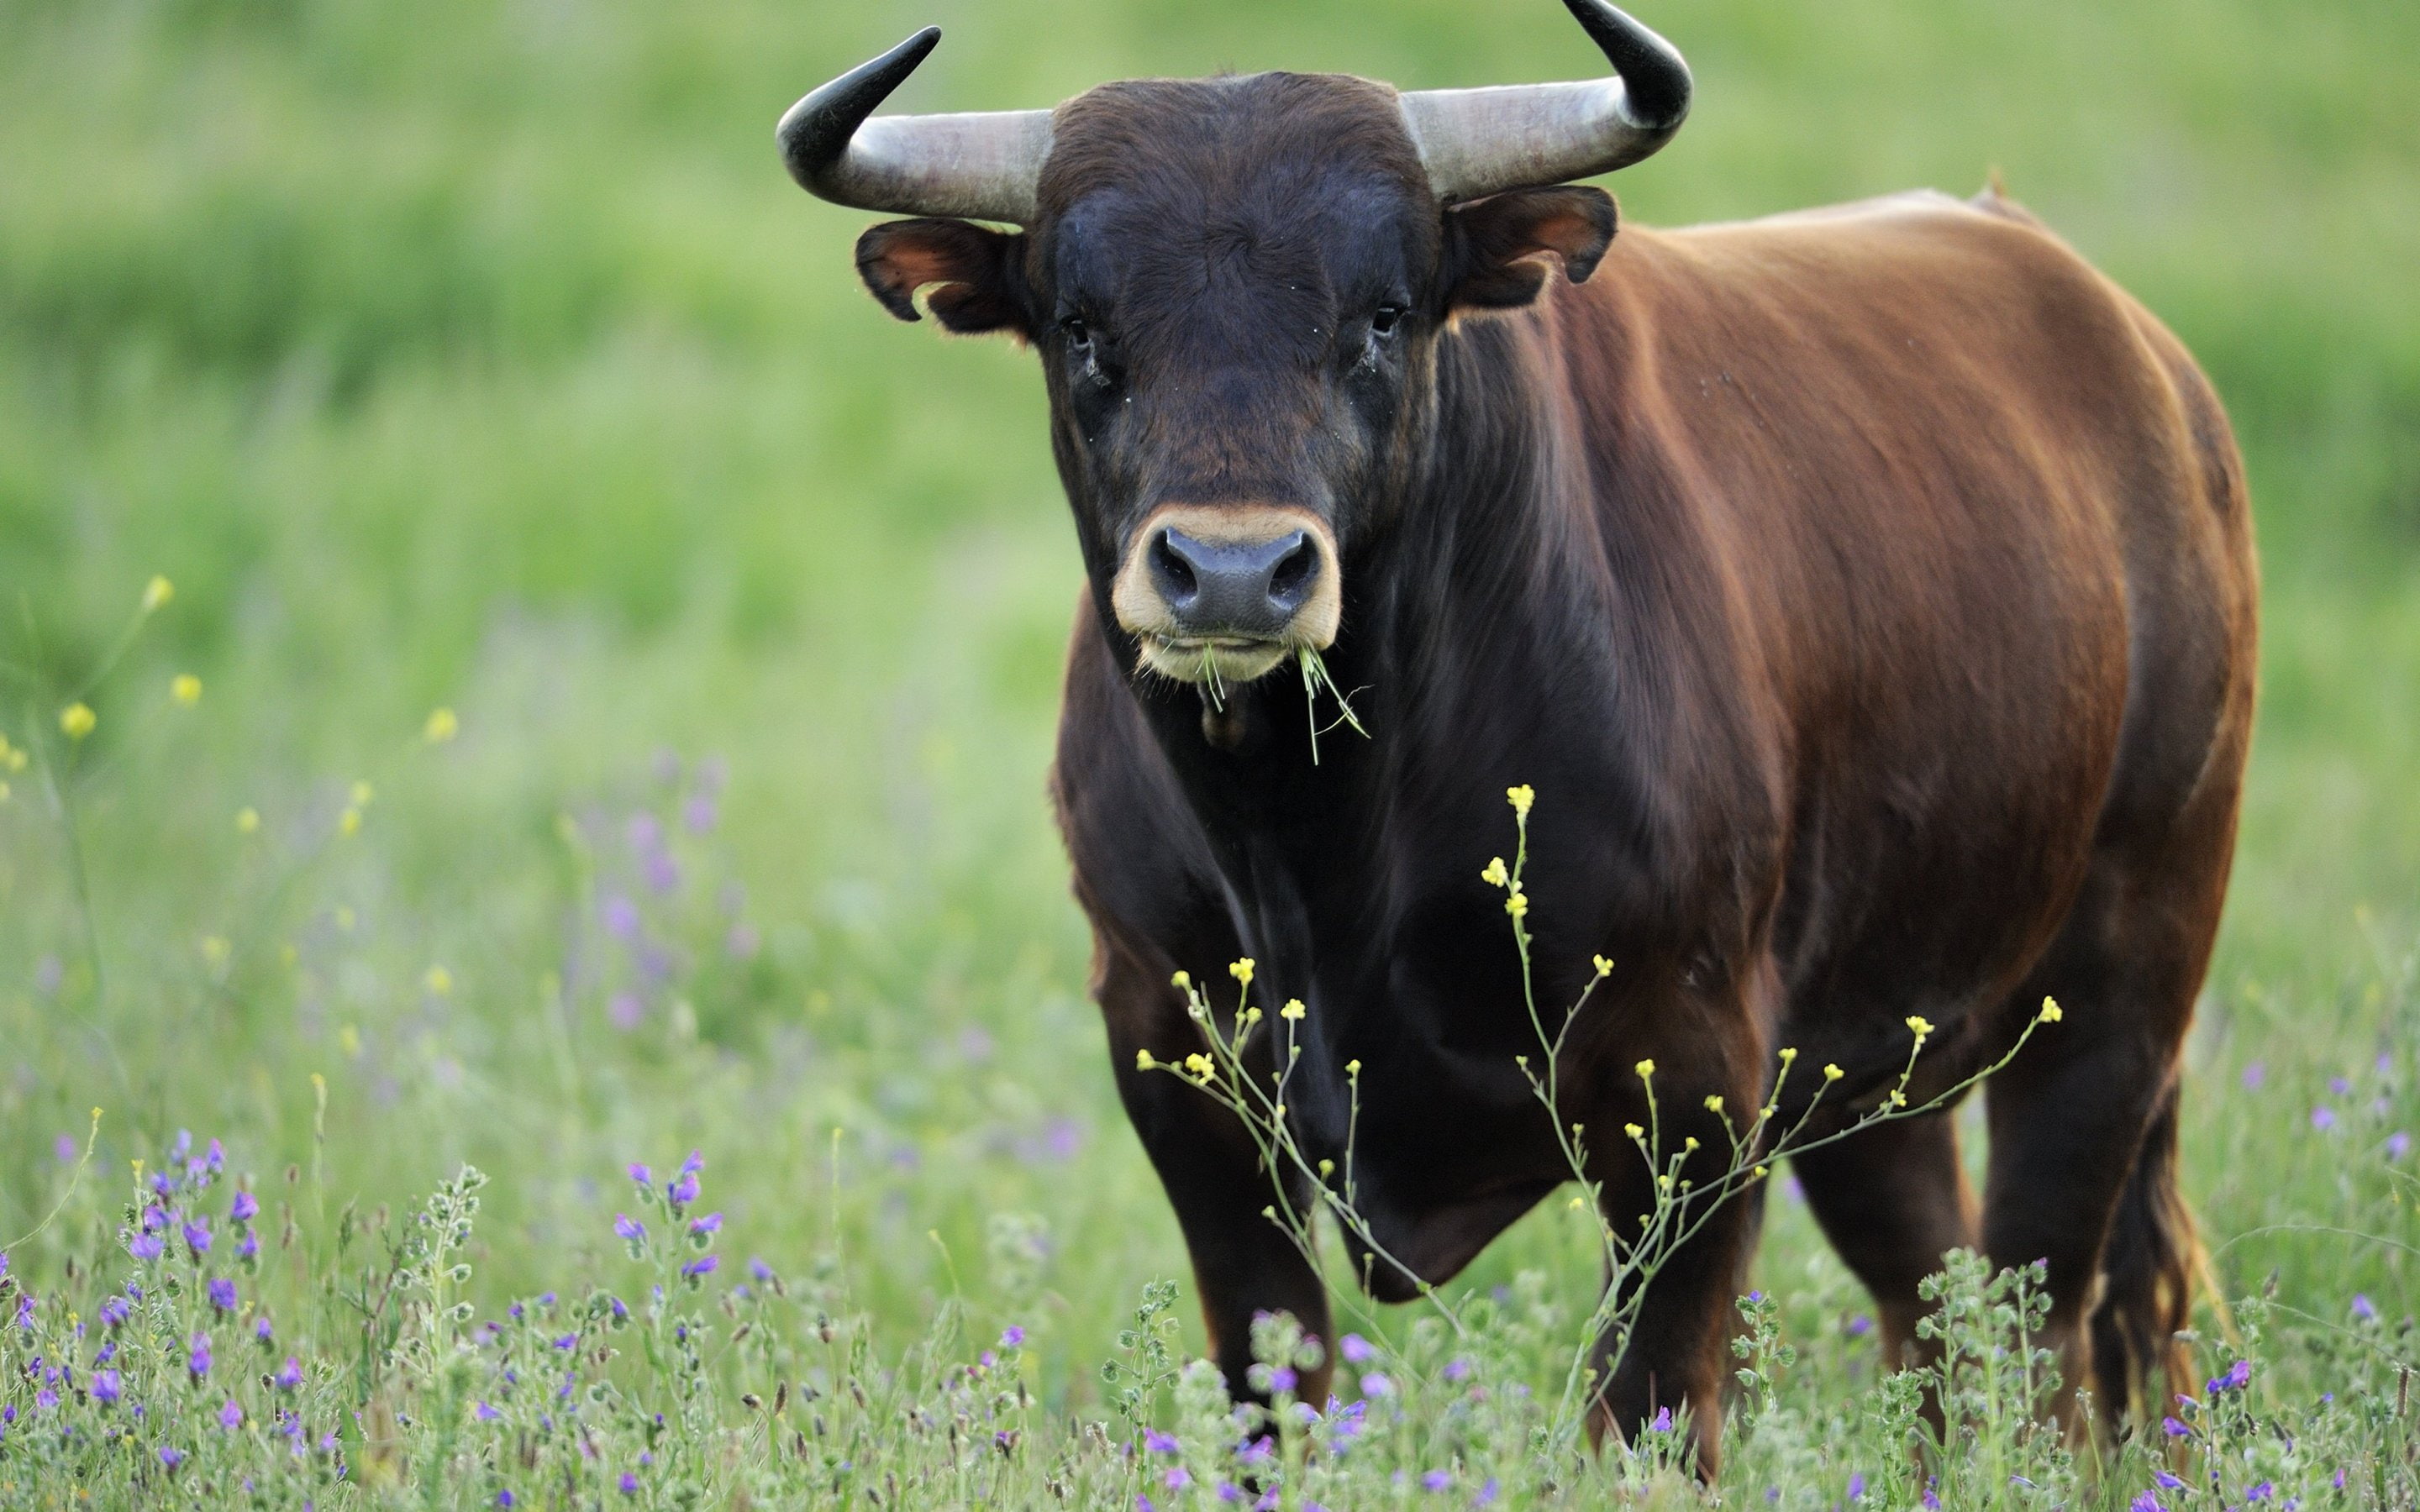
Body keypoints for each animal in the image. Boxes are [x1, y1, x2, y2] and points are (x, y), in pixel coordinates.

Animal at [776, 0, 2257, 1468]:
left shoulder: (1693, 1088)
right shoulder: (1173, 1063)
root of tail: (2148, 365)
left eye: (1382, 315)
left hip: (2120, 990)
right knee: (1941, 1308)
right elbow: (1273, 1378)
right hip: (1878, 1062)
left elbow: (1651, 1408)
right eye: (1084, 328)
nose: (1236, 573)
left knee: (2052, 1326)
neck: (1314, 841)